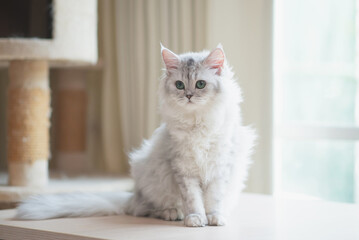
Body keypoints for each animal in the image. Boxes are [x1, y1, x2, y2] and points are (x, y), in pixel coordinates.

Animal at [15, 44, 256, 227]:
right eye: (179, 85)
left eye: (200, 84)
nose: (188, 96)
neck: (197, 123)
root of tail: (132, 196)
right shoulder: (183, 170)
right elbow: (194, 200)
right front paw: (196, 219)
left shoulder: (220, 168)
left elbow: (213, 199)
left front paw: (214, 217)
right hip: (151, 179)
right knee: (142, 210)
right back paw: (172, 213)